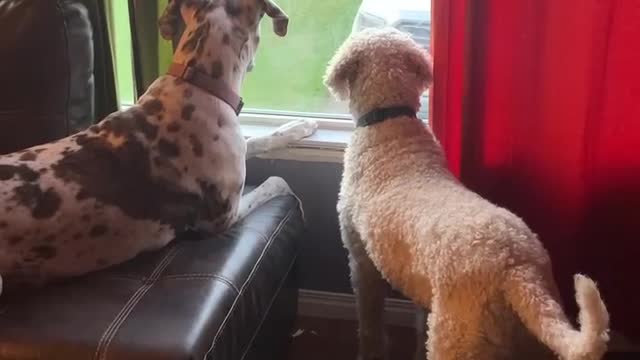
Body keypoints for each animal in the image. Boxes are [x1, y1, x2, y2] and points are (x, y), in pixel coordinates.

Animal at [0, 0, 318, 294]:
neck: (199, 81)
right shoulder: (224, 216)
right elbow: (277, 181)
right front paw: (301, 207)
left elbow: (258, 140)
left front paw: (299, 127)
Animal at [324, 27, 608, 360]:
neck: (389, 121)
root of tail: (517, 270)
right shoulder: (422, 289)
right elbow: (418, 324)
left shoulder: (362, 261)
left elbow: (369, 322)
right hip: (529, 336)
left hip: (454, 336)